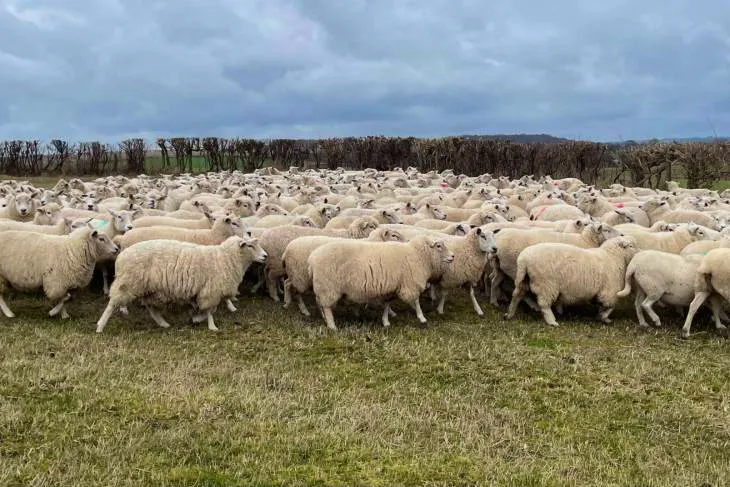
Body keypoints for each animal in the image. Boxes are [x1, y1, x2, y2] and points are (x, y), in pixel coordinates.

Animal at [95, 236, 268, 333]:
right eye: (250, 245)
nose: (265, 256)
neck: (226, 257)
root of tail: (120, 256)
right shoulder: (211, 290)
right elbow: (210, 311)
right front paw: (211, 326)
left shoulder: (206, 291)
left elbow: (205, 309)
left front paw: (196, 319)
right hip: (128, 282)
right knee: (112, 304)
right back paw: (100, 326)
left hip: (147, 287)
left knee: (151, 308)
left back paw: (163, 323)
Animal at [308, 235, 455, 329]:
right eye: (439, 246)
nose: (453, 256)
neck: (418, 255)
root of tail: (312, 258)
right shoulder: (409, 283)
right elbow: (416, 301)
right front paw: (422, 318)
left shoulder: (390, 287)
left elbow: (386, 304)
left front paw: (385, 321)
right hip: (328, 286)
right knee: (326, 307)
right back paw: (332, 326)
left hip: (323, 287)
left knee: (320, 303)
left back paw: (325, 320)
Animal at [504, 237, 637, 326]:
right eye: (631, 246)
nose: (638, 253)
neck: (613, 257)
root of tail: (523, 260)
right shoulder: (609, 291)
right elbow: (610, 306)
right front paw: (604, 318)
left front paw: (601, 316)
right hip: (546, 284)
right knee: (544, 304)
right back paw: (552, 321)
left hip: (523, 280)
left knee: (516, 296)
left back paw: (509, 314)